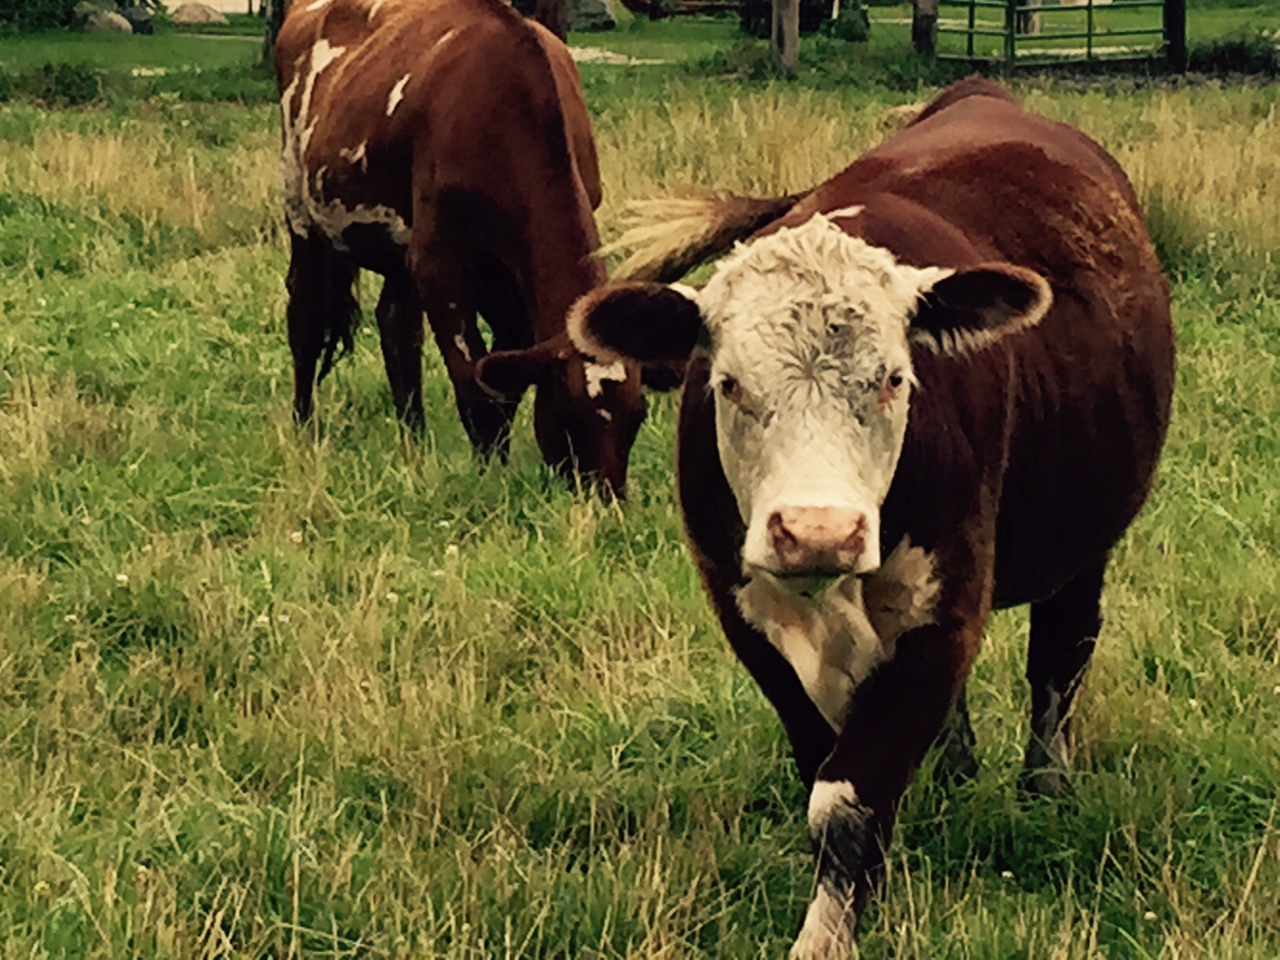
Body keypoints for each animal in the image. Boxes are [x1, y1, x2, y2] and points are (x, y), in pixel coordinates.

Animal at [275, 0, 647, 496]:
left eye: (638, 416)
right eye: (569, 415)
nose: (607, 502)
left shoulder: (505, 284)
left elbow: (501, 377)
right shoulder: (440, 265)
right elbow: (474, 379)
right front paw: (490, 476)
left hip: (400, 248)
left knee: (396, 326)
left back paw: (414, 439)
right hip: (302, 209)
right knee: (307, 319)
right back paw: (304, 426)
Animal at [568, 78, 1175, 956]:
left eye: (893, 378)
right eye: (728, 383)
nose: (817, 530)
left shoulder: (945, 608)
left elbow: (849, 797)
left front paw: (828, 934)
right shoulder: (744, 613)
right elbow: (828, 775)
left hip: (1087, 535)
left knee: (1061, 657)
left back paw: (1045, 784)